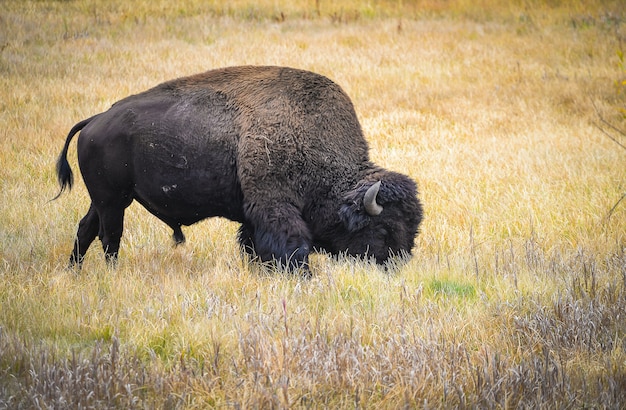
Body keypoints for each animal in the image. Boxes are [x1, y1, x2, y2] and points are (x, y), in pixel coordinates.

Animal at [54, 66, 424, 272]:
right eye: (384, 229)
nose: (397, 266)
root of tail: (95, 120)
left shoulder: (252, 214)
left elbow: (252, 244)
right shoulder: (274, 207)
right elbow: (291, 245)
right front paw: (301, 276)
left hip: (105, 200)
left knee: (86, 229)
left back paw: (73, 272)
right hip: (113, 201)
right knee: (109, 237)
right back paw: (110, 273)